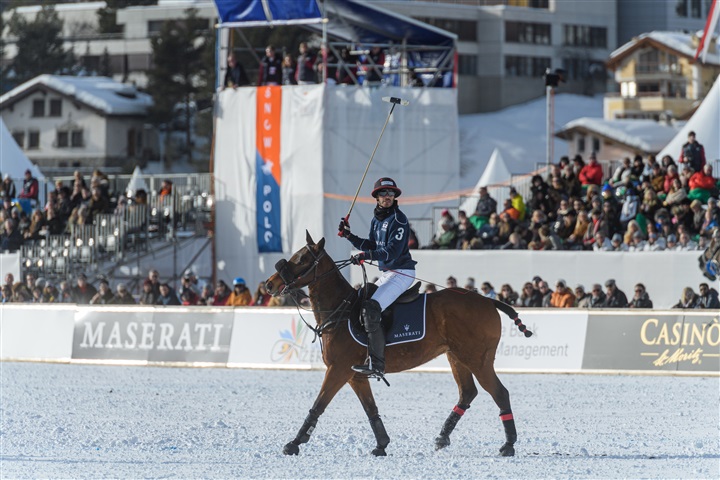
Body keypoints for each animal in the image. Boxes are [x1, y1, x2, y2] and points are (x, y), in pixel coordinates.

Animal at [264, 232, 528, 458]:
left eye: (302, 259)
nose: (269, 284)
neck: (339, 308)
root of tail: (489, 301)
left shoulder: (338, 369)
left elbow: (318, 405)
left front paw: (294, 443)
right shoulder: (355, 375)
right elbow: (370, 409)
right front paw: (381, 445)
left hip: (478, 358)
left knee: (499, 393)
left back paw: (508, 445)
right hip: (456, 356)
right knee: (468, 392)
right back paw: (442, 437)